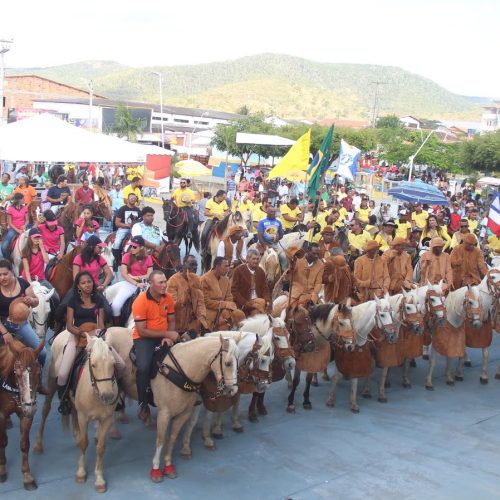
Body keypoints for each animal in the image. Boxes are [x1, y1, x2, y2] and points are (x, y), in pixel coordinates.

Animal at [0, 338, 44, 490]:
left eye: (39, 373)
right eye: (17, 374)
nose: (30, 407)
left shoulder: (26, 415)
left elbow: (24, 444)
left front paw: (27, 476)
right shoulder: (1, 414)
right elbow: (3, 441)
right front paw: (2, 469)